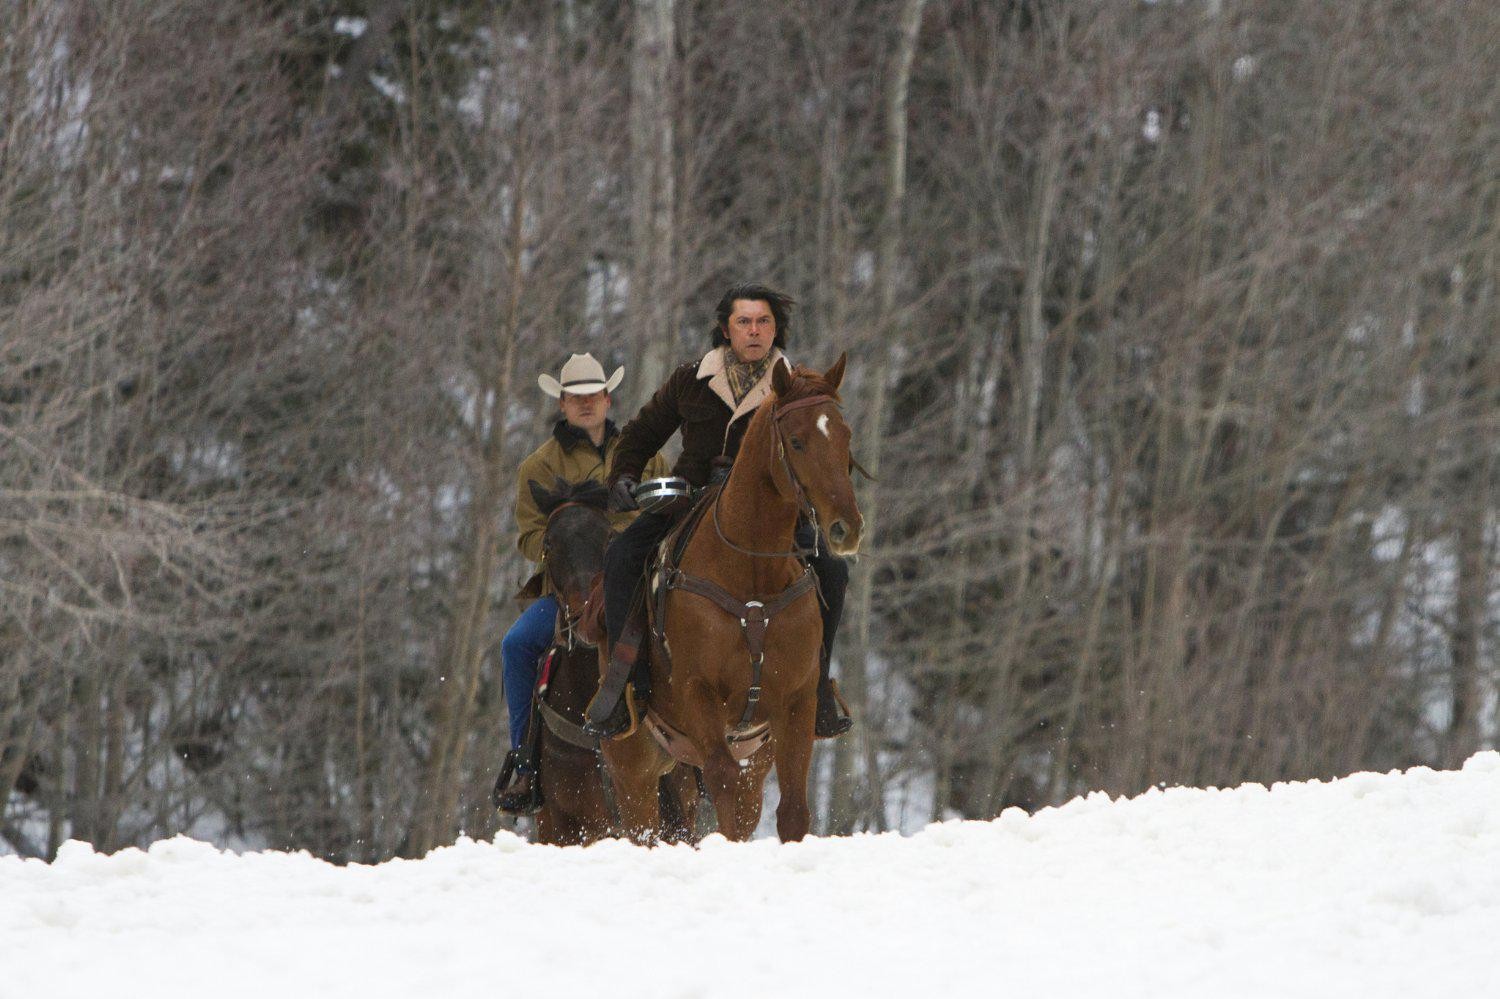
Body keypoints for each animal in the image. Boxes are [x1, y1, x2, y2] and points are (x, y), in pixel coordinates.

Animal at [594, 358, 858, 840]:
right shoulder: (700, 694)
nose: (846, 528)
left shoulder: (795, 703)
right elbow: (724, 788)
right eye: (797, 441)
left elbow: (792, 811)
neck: (751, 577)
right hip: (633, 766)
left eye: (845, 436)